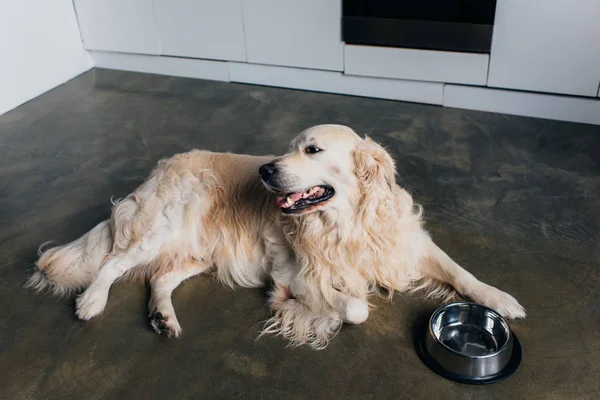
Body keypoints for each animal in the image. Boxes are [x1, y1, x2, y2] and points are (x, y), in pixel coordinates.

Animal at [27, 123, 524, 348]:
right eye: (287, 148)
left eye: (313, 150)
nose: (266, 170)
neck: (346, 224)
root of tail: (159, 169)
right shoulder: (298, 276)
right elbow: (357, 307)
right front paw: (308, 316)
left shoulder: (407, 243)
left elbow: (460, 272)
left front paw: (501, 298)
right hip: (163, 226)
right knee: (114, 262)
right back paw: (91, 301)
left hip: (197, 252)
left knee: (158, 278)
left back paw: (163, 317)